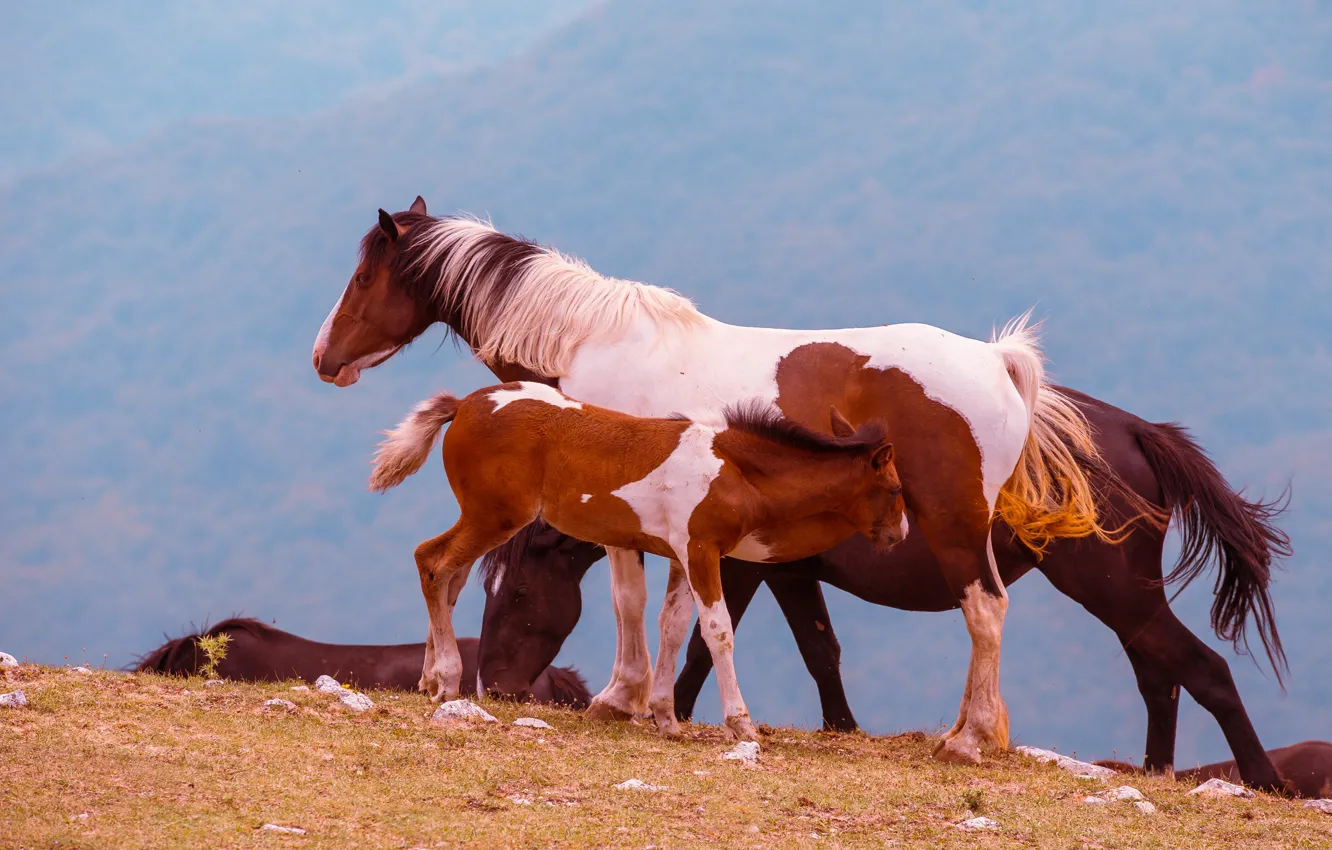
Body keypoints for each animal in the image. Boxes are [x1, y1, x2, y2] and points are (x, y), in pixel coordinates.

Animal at [367, 381, 907, 740]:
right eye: (896, 489)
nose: (899, 534)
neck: (735, 470)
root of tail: (465, 405)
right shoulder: (702, 551)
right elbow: (717, 631)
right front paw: (741, 724)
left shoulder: (681, 556)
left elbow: (673, 624)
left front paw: (665, 718)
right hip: (494, 516)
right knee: (432, 561)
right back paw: (447, 680)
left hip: (486, 518)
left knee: (450, 576)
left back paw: (430, 678)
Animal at [467, 392, 1293, 791]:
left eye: (516, 594)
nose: (496, 684)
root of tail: (1138, 430)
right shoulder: (786, 574)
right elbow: (818, 649)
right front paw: (838, 725)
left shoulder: (745, 569)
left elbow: (708, 642)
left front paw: (684, 713)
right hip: (1128, 599)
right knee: (1162, 678)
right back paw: (1158, 772)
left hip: (1118, 594)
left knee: (1204, 671)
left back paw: (1263, 778)